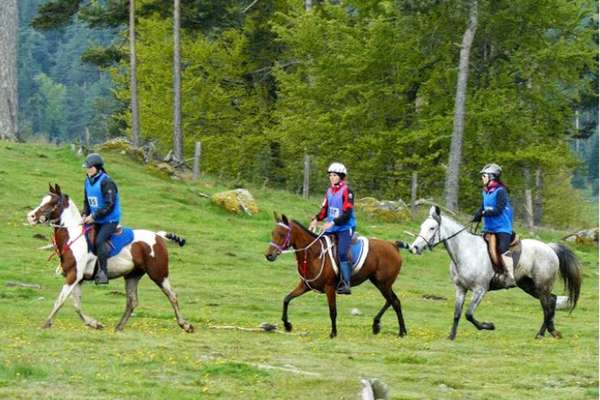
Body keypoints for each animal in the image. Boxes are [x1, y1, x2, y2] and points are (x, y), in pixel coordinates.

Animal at [27, 183, 193, 332]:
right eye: (43, 200)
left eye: (52, 202)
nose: (31, 216)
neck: (73, 236)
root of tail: (158, 236)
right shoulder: (77, 278)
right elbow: (76, 305)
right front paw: (94, 324)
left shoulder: (74, 275)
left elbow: (60, 301)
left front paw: (46, 323)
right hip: (132, 276)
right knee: (132, 301)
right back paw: (119, 327)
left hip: (158, 274)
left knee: (172, 296)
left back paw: (185, 325)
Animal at [266, 212, 410, 338]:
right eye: (273, 233)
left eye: (282, 234)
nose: (269, 255)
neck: (314, 254)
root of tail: (393, 245)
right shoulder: (305, 286)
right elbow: (286, 299)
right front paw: (287, 325)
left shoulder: (329, 288)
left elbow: (333, 311)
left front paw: (333, 333)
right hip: (379, 282)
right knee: (393, 301)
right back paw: (384, 327)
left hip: (383, 283)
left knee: (394, 302)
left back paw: (398, 331)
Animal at [410, 206, 580, 340]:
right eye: (422, 226)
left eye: (432, 228)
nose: (415, 248)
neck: (466, 251)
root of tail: (550, 248)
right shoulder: (460, 289)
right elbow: (457, 314)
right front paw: (451, 336)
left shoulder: (480, 290)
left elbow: (469, 314)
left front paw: (488, 326)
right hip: (528, 285)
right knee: (551, 301)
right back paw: (544, 333)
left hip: (542, 285)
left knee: (547, 305)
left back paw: (548, 332)